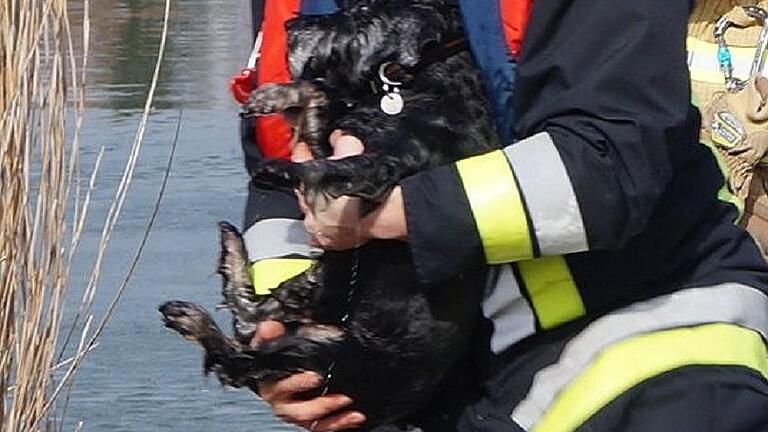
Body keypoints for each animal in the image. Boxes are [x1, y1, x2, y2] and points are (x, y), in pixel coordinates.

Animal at [160, 0, 500, 428]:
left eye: (360, 11)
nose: (292, 26)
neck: (423, 81)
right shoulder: (334, 138)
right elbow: (317, 94)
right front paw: (272, 95)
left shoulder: (379, 169)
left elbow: (326, 167)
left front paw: (278, 168)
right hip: (312, 304)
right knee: (249, 315)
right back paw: (226, 254)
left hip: (314, 355)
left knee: (235, 356)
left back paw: (192, 316)